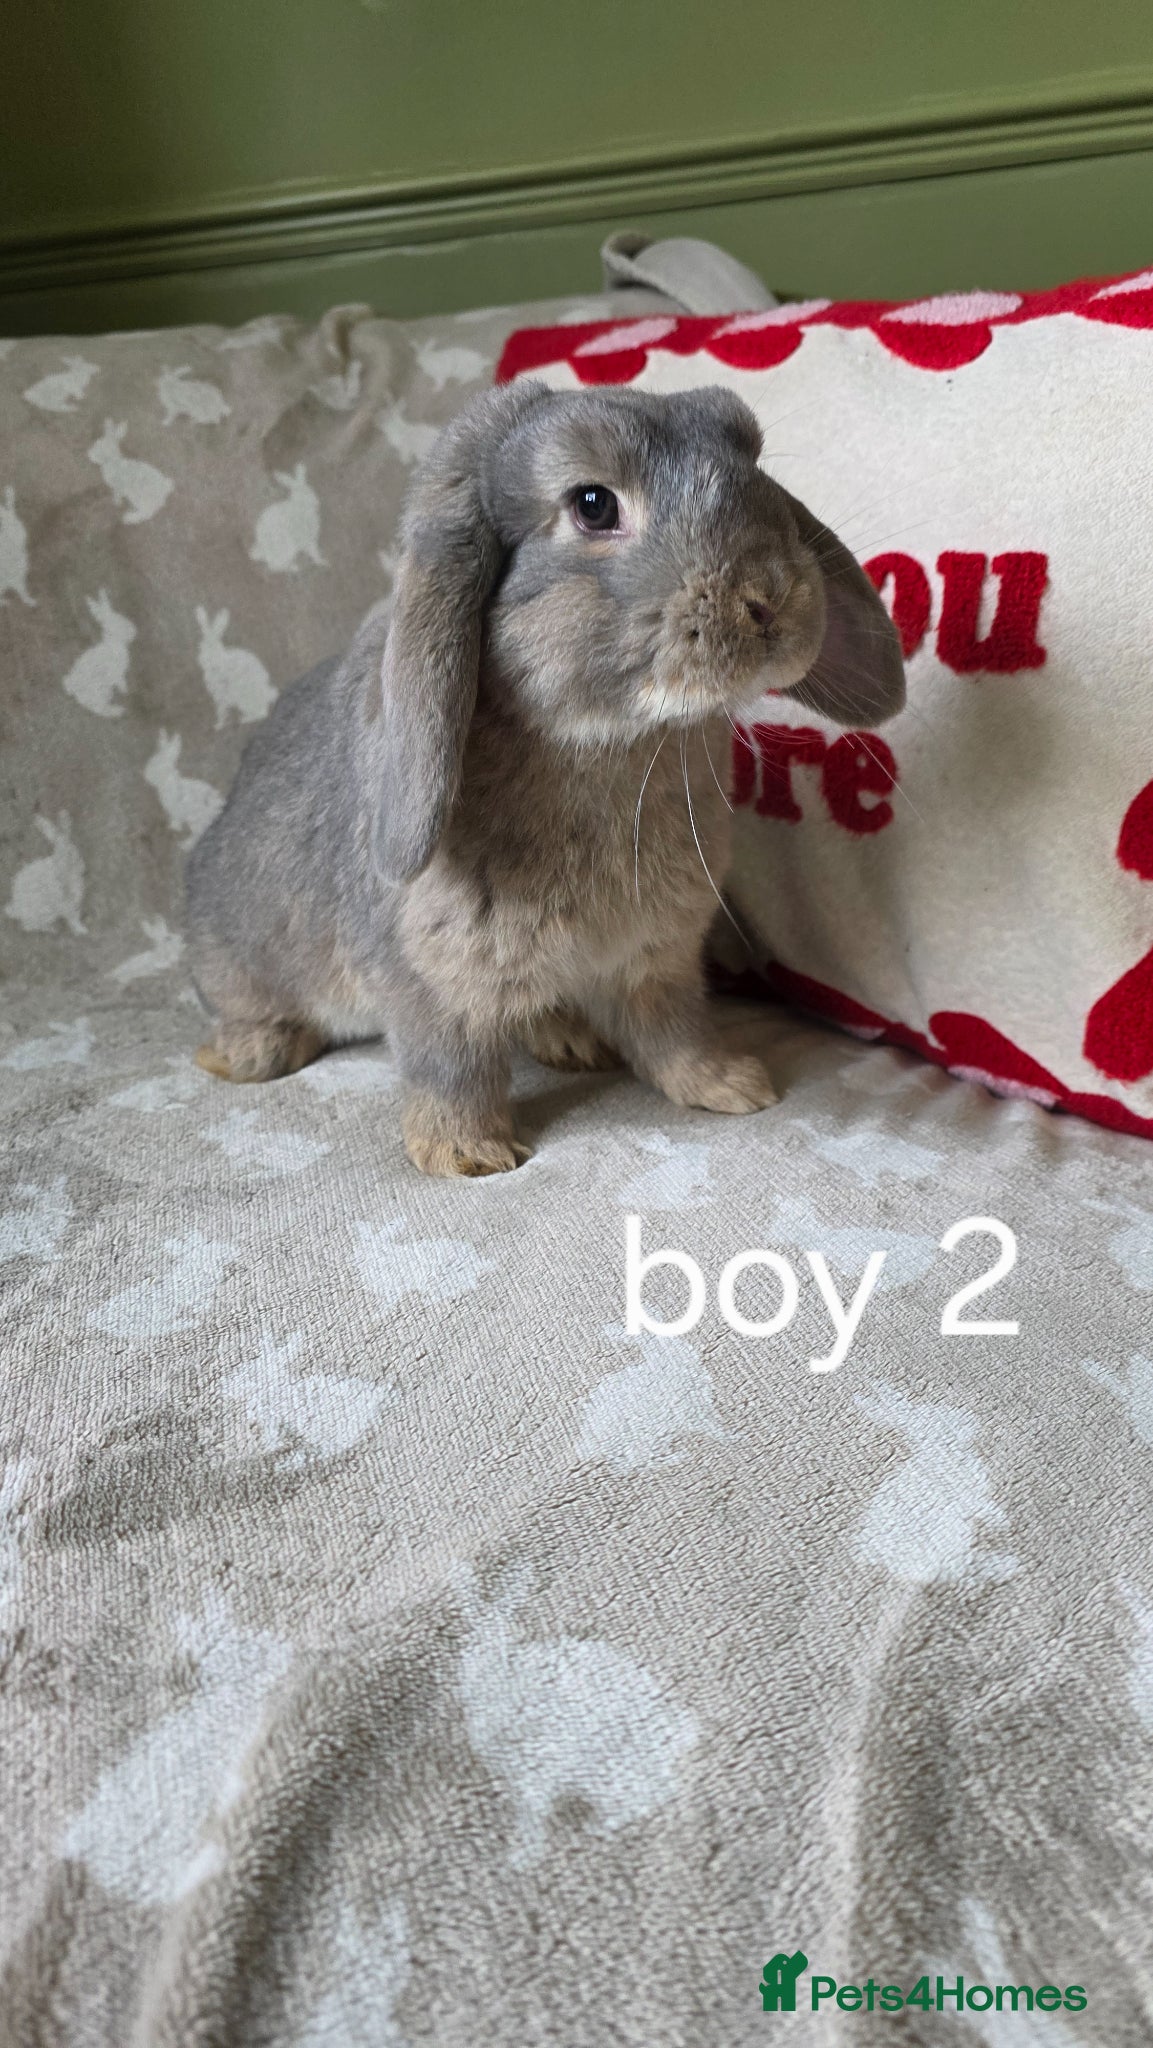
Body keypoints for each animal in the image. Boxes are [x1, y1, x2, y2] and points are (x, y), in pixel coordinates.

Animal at [186, 380, 904, 1178]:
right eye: (593, 504)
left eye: (750, 459)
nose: (771, 599)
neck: (613, 745)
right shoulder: (430, 980)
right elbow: (451, 1066)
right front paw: (467, 1155)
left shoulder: (657, 959)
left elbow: (675, 1030)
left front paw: (732, 1087)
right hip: (239, 955)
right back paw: (250, 1054)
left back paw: (570, 1039)